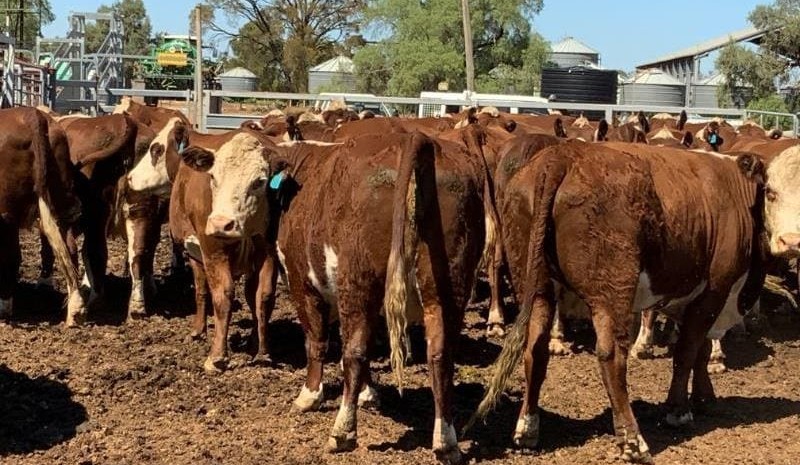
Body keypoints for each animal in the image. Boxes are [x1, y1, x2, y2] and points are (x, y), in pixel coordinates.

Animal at [0, 107, 86, 325]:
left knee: (10, 255)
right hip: (61, 199)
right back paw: (75, 310)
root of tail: (32, 115)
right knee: (70, 248)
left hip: (7, 213)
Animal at [169, 132, 279, 371]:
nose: (222, 224)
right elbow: (226, 295)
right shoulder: (213, 251)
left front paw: (261, 351)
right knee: (205, 291)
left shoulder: (267, 252)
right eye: (213, 177)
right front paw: (219, 356)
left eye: (259, 181)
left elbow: (262, 295)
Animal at [267, 130, 490, 462]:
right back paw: (446, 442)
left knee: (355, 351)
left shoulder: (302, 284)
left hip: (358, 284)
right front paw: (368, 394)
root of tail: (416, 138)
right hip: (447, 288)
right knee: (440, 356)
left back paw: (342, 432)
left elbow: (317, 342)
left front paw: (310, 396)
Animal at [467, 141, 764, 463]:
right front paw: (679, 411)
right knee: (611, 356)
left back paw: (527, 428)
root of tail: (562, 155)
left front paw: (703, 397)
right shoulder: (714, 292)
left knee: (535, 347)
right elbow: (687, 351)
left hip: (535, 284)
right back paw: (633, 441)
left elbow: (701, 349)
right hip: (612, 291)